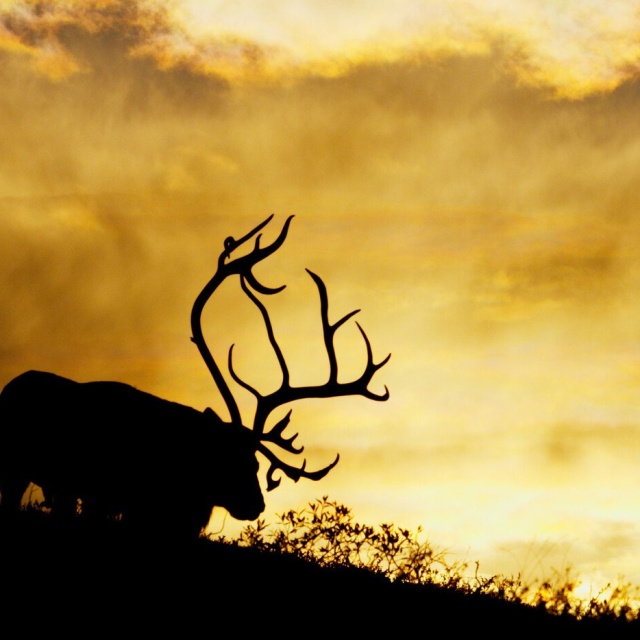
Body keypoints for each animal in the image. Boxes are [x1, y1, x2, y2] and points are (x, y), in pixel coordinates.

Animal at [0, 214, 390, 538]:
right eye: (226, 457)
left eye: (255, 461)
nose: (256, 504)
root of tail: (9, 387)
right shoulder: (108, 497)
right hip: (18, 467)